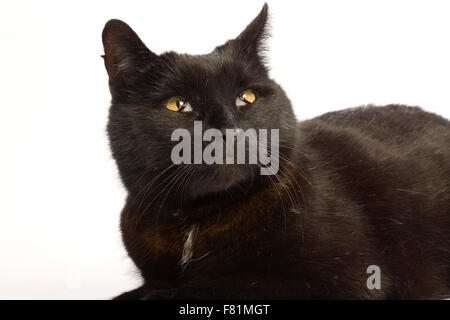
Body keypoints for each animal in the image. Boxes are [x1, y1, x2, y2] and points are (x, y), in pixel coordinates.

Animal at [102, 4, 450, 300]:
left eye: (247, 97)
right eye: (178, 104)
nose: (229, 129)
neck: (196, 219)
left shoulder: (351, 278)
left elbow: (222, 285)